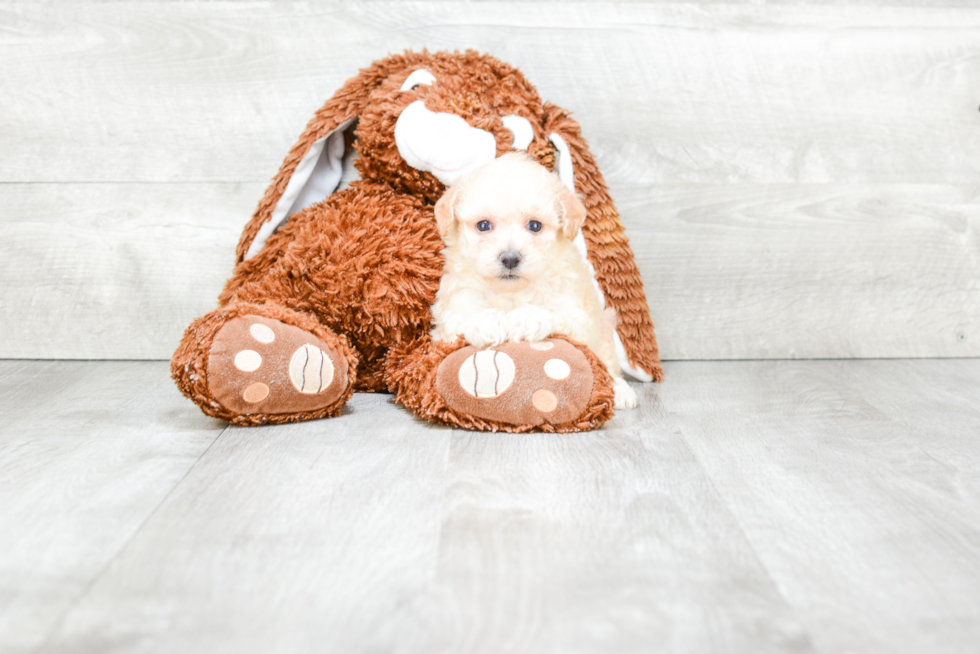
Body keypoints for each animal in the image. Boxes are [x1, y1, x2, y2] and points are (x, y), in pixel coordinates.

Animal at [428, 153, 636, 410]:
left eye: (535, 226)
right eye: (483, 225)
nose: (510, 258)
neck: (511, 293)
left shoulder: (576, 314)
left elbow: (556, 315)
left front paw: (525, 319)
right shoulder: (450, 314)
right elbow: (462, 319)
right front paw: (489, 322)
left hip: (604, 329)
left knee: (606, 362)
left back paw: (620, 390)